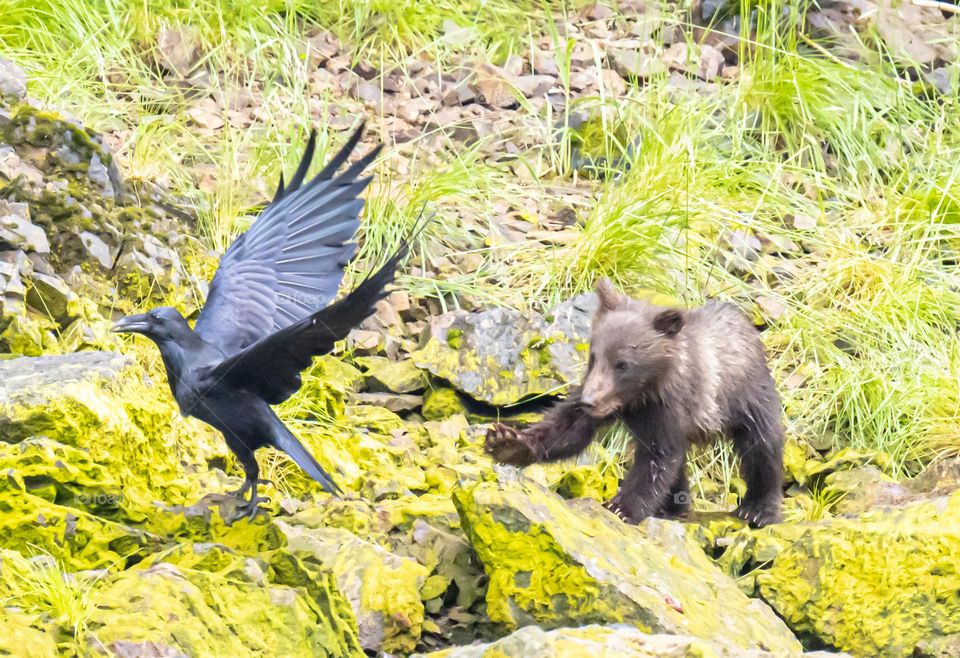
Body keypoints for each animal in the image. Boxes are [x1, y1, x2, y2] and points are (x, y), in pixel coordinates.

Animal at [485, 278, 784, 527]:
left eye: (623, 364)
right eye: (594, 356)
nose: (589, 401)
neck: (641, 394)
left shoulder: (668, 409)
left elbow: (657, 459)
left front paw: (621, 507)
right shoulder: (612, 400)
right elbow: (569, 428)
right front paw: (507, 442)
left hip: (748, 400)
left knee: (762, 448)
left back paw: (758, 508)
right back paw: (673, 507)